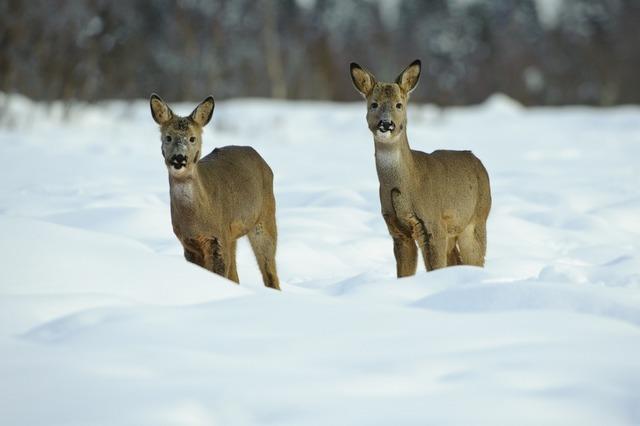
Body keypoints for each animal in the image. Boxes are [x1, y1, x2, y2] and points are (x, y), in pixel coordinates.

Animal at [151, 93, 282, 292]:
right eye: (167, 137)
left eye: (192, 138)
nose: (179, 158)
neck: (198, 218)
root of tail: (260, 158)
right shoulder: (189, 243)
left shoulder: (218, 238)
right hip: (233, 235)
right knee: (236, 276)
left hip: (264, 219)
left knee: (270, 272)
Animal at [350, 61, 496, 278]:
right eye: (374, 104)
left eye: (399, 105)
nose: (386, 124)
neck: (407, 184)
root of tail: (478, 162)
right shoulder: (397, 230)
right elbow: (404, 274)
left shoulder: (433, 223)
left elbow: (435, 267)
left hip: (475, 220)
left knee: (475, 261)